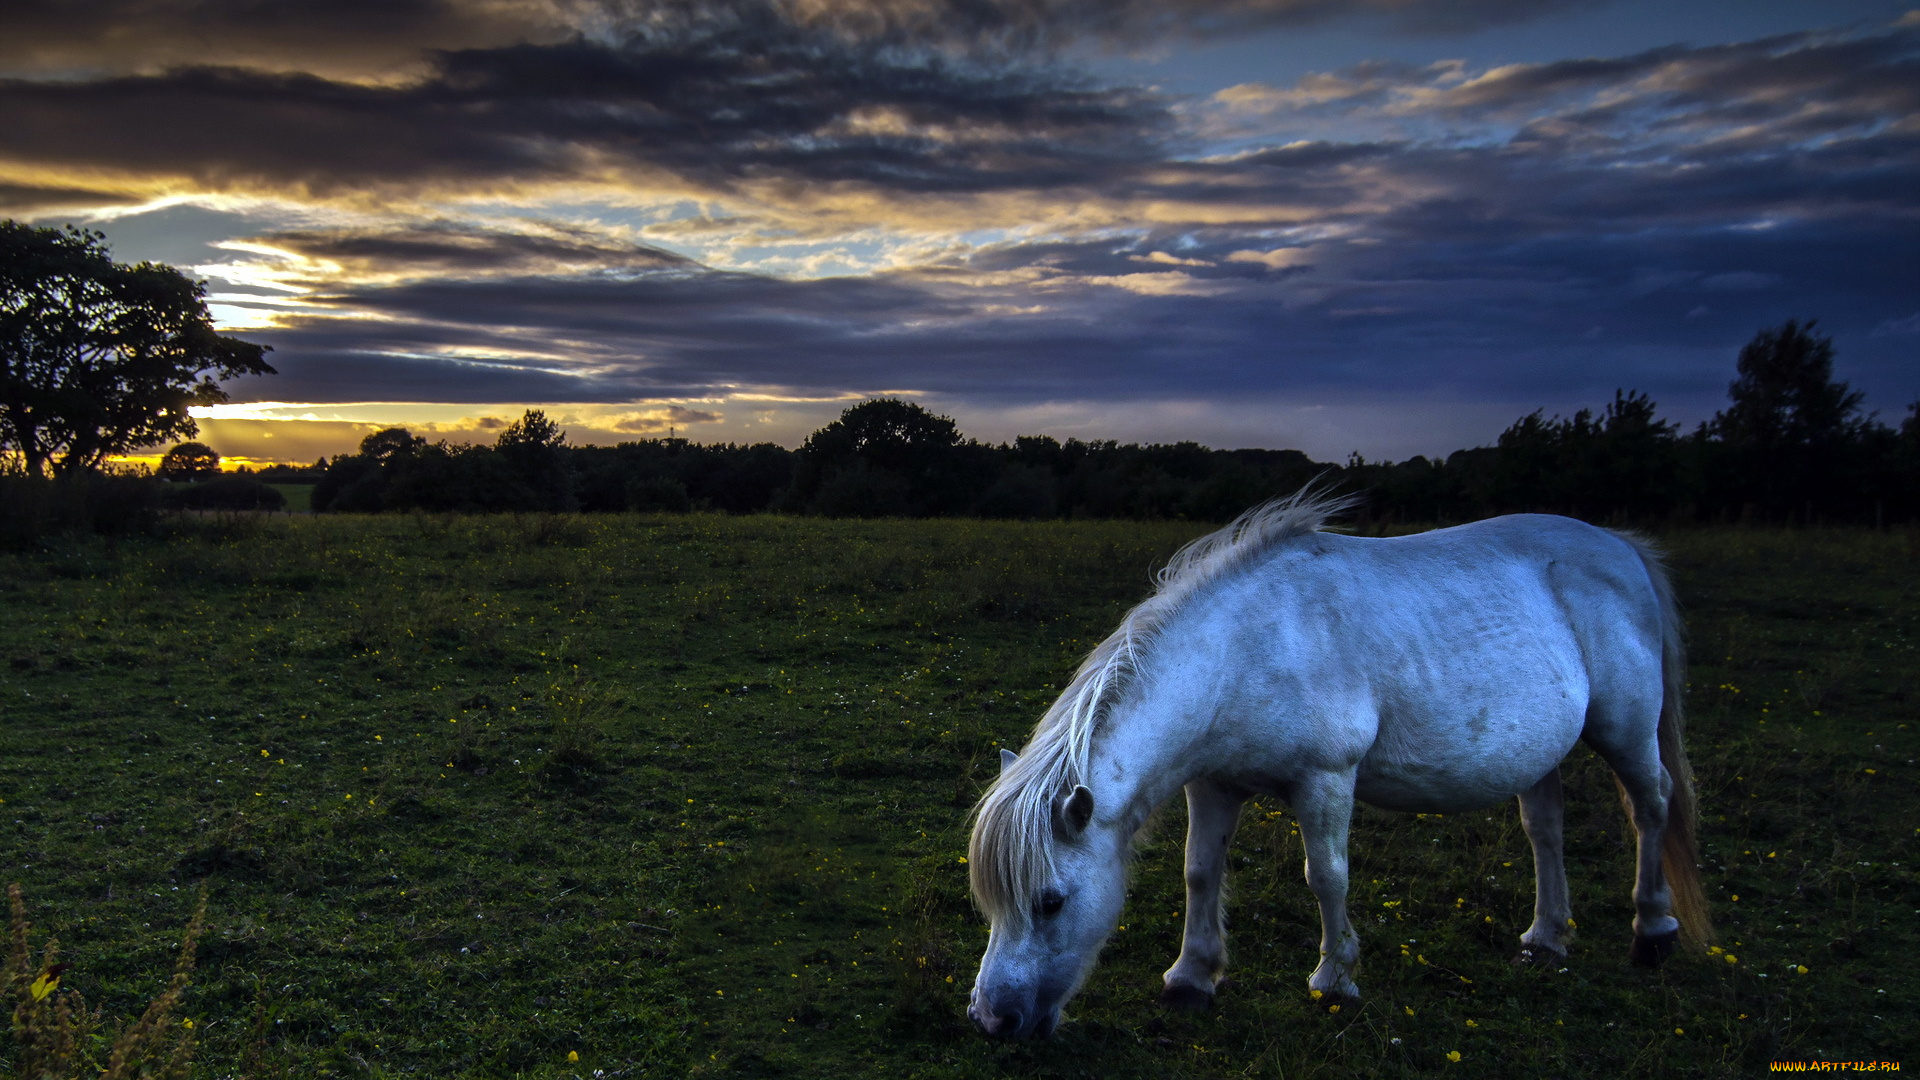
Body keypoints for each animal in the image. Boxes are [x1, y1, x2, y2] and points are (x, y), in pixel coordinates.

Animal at [975, 488, 1712, 1037]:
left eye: (1050, 901)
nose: (991, 1020)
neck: (1249, 647)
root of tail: (1622, 545)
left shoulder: (1326, 779)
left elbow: (1326, 877)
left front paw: (1335, 980)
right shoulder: (1212, 784)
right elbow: (1199, 874)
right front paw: (1190, 978)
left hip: (1625, 728)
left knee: (1652, 805)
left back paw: (1653, 931)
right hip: (1539, 753)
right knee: (1546, 831)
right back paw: (1546, 938)